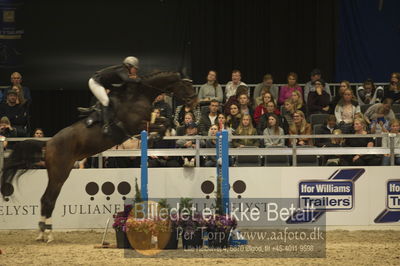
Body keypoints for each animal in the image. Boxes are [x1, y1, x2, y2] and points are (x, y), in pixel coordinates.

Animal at [0, 71, 197, 242]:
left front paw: (161, 135)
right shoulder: (135, 125)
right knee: (48, 199)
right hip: (60, 173)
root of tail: (48, 144)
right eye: (187, 85)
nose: (195, 101)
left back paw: (41, 233)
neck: (139, 95)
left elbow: (165, 122)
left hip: (55, 173)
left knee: (45, 199)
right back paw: (48, 234)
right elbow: (161, 124)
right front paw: (156, 137)